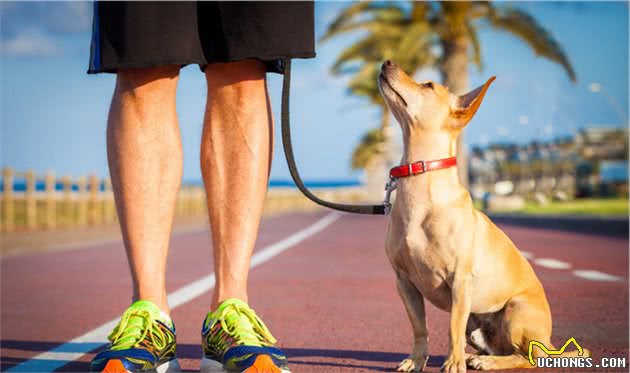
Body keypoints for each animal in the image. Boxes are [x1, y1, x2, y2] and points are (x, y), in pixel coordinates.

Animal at [378, 59, 592, 370]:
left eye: (428, 85)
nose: (387, 61)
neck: (419, 188)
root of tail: (549, 342)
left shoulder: (460, 282)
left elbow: (452, 328)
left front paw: (453, 364)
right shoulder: (404, 283)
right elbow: (420, 328)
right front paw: (416, 361)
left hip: (515, 310)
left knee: (527, 358)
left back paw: (484, 362)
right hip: (478, 326)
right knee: (502, 348)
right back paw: (475, 357)